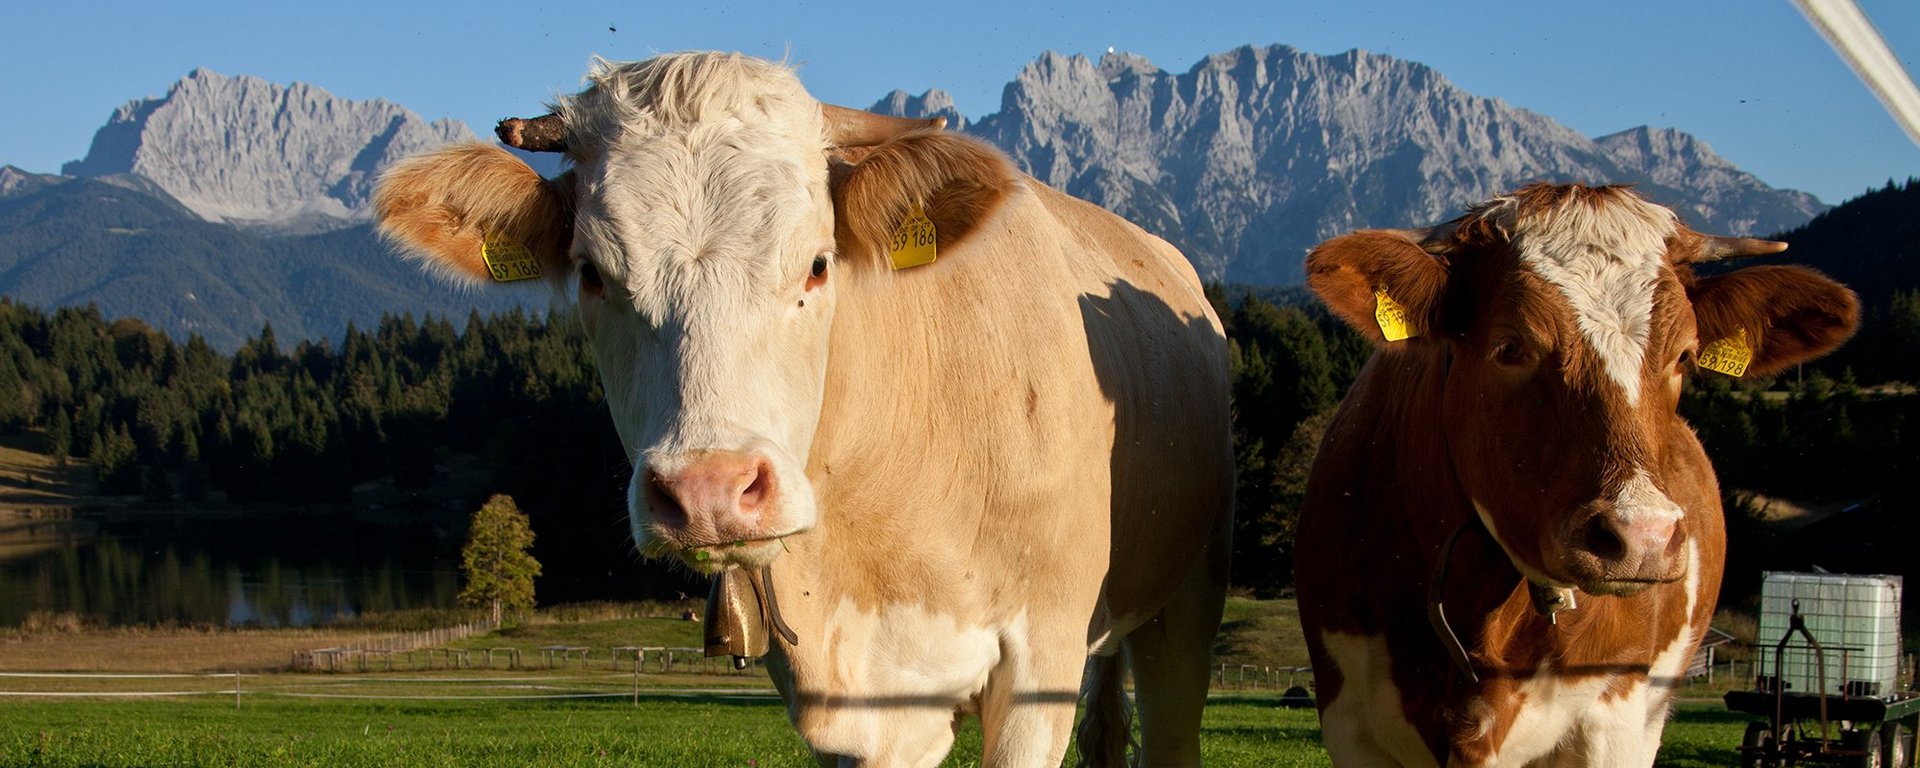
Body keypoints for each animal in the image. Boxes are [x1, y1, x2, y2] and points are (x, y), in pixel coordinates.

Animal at [368, 54, 1236, 768]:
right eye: (591, 274)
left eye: (817, 263)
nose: (710, 491)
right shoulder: (858, 706)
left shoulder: (1040, 660)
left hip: (1186, 599)